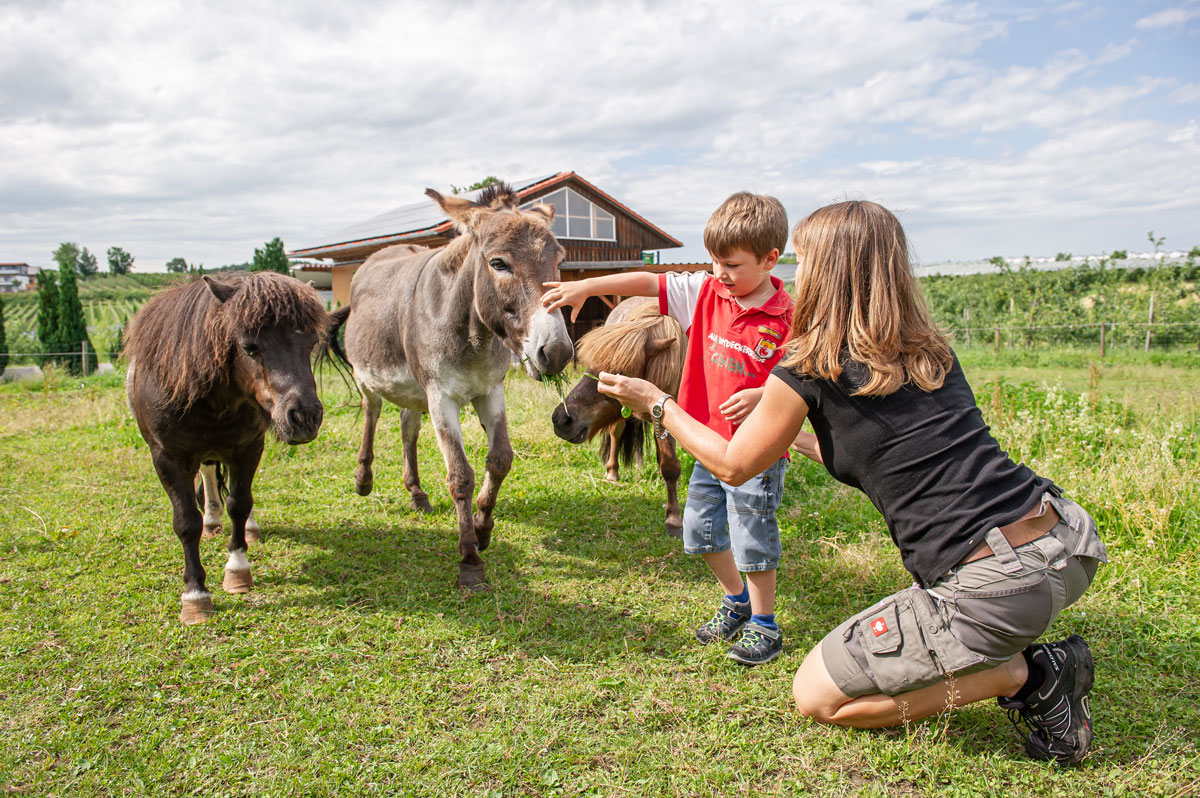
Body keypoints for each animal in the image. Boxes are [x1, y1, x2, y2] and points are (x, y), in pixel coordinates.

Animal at [125, 272, 328, 624]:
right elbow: (186, 522)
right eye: (250, 346)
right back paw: (211, 522)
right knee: (207, 477)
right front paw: (195, 595)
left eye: (311, 343)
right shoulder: (167, 459)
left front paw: (237, 570)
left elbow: (239, 503)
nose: (305, 418)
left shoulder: (248, 449)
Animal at [549, 297, 686, 535]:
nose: (561, 419)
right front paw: (674, 518)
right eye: (591, 367)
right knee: (615, 433)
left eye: (618, 374)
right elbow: (670, 466)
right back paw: (612, 473)